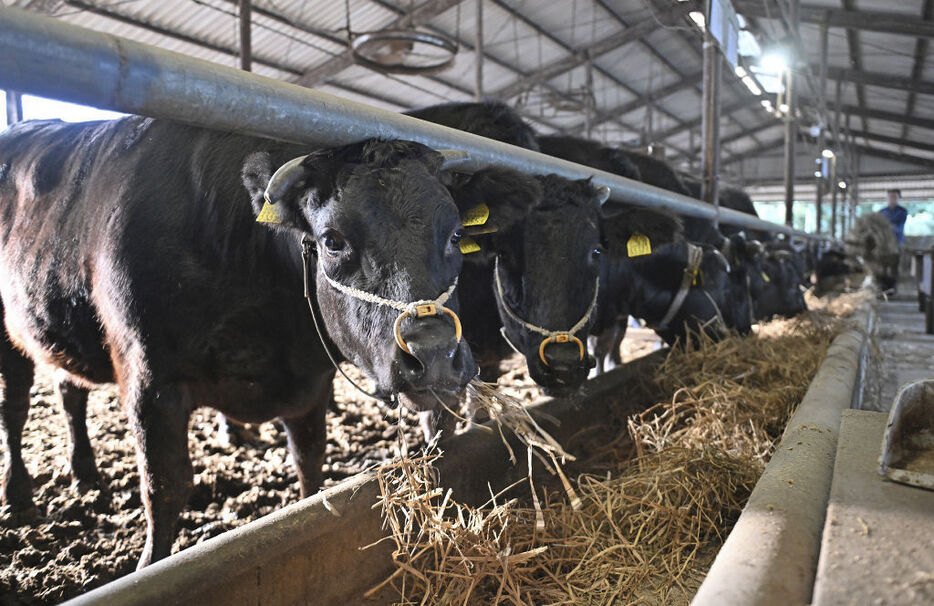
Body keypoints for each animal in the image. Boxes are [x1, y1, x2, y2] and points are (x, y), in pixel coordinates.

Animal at [0, 119, 528, 568]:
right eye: (333, 240)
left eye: (456, 234)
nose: (434, 353)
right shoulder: (149, 380)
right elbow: (164, 487)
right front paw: (150, 563)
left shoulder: (310, 383)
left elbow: (309, 460)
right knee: (17, 410)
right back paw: (20, 496)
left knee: (68, 392)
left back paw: (84, 471)